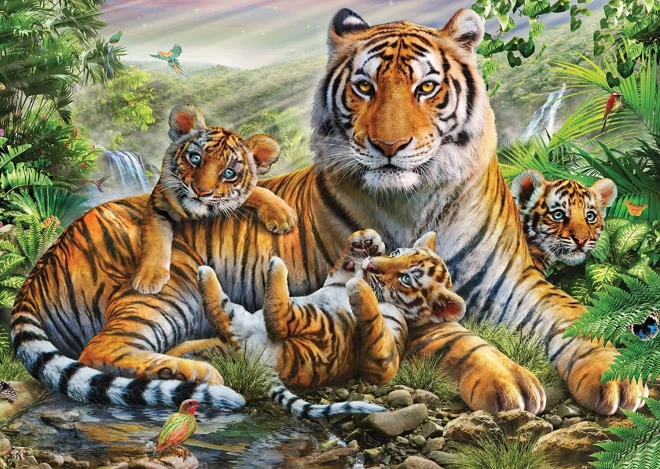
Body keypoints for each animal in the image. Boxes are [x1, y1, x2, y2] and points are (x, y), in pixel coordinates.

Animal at [131, 104, 296, 294]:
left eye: (229, 173)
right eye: (195, 158)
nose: (200, 191)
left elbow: (257, 191)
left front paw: (282, 215)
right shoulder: (159, 203)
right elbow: (155, 238)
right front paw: (149, 277)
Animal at [196, 229, 464, 402]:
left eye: (406, 279)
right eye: (397, 252)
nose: (370, 265)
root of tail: (258, 360)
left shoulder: (385, 362)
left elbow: (376, 328)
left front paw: (360, 288)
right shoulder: (336, 279)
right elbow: (343, 266)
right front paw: (367, 239)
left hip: (320, 327)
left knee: (280, 320)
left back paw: (276, 266)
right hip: (241, 320)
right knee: (221, 315)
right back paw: (205, 272)